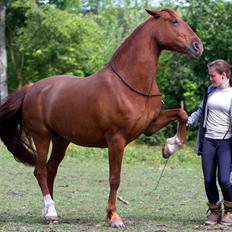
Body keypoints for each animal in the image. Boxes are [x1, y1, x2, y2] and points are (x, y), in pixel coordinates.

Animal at [0, 8, 203, 227]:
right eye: (173, 21)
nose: (198, 46)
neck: (128, 83)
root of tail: (31, 89)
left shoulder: (151, 125)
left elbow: (181, 114)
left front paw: (170, 147)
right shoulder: (116, 140)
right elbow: (115, 178)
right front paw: (113, 217)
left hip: (61, 140)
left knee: (51, 170)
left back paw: (49, 212)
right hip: (42, 137)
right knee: (41, 171)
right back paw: (51, 212)